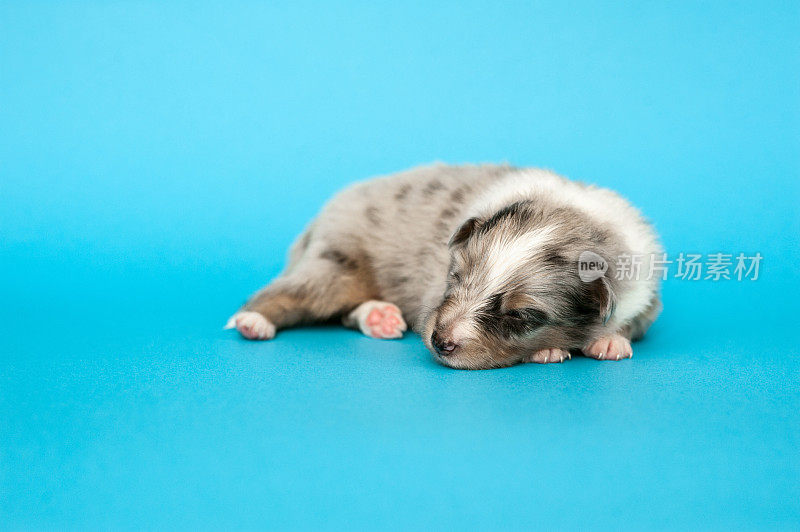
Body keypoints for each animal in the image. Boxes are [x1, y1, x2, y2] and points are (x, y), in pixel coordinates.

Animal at [225, 163, 664, 370]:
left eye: (519, 315)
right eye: (455, 277)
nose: (439, 342)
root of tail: (327, 210)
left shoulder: (644, 294)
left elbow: (630, 320)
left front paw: (609, 340)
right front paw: (551, 350)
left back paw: (381, 317)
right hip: (337, 264)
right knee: (292, 293)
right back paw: (253, 320)